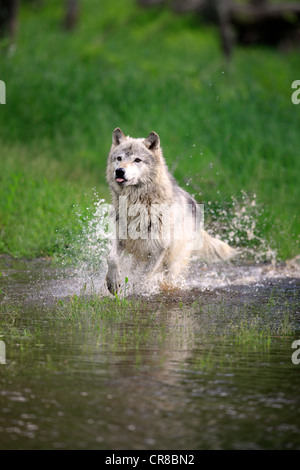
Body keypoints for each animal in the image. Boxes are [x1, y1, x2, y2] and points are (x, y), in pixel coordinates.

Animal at [105, 127, 234, 294]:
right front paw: (113, 283)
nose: (119, 171)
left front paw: (137, 291)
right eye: (119, 158)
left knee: (169, 279)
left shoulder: (159, 250)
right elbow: (112, 258)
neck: (139, 204)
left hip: (173, 264)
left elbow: (142, 278)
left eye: (137, 160)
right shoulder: (121, 239)